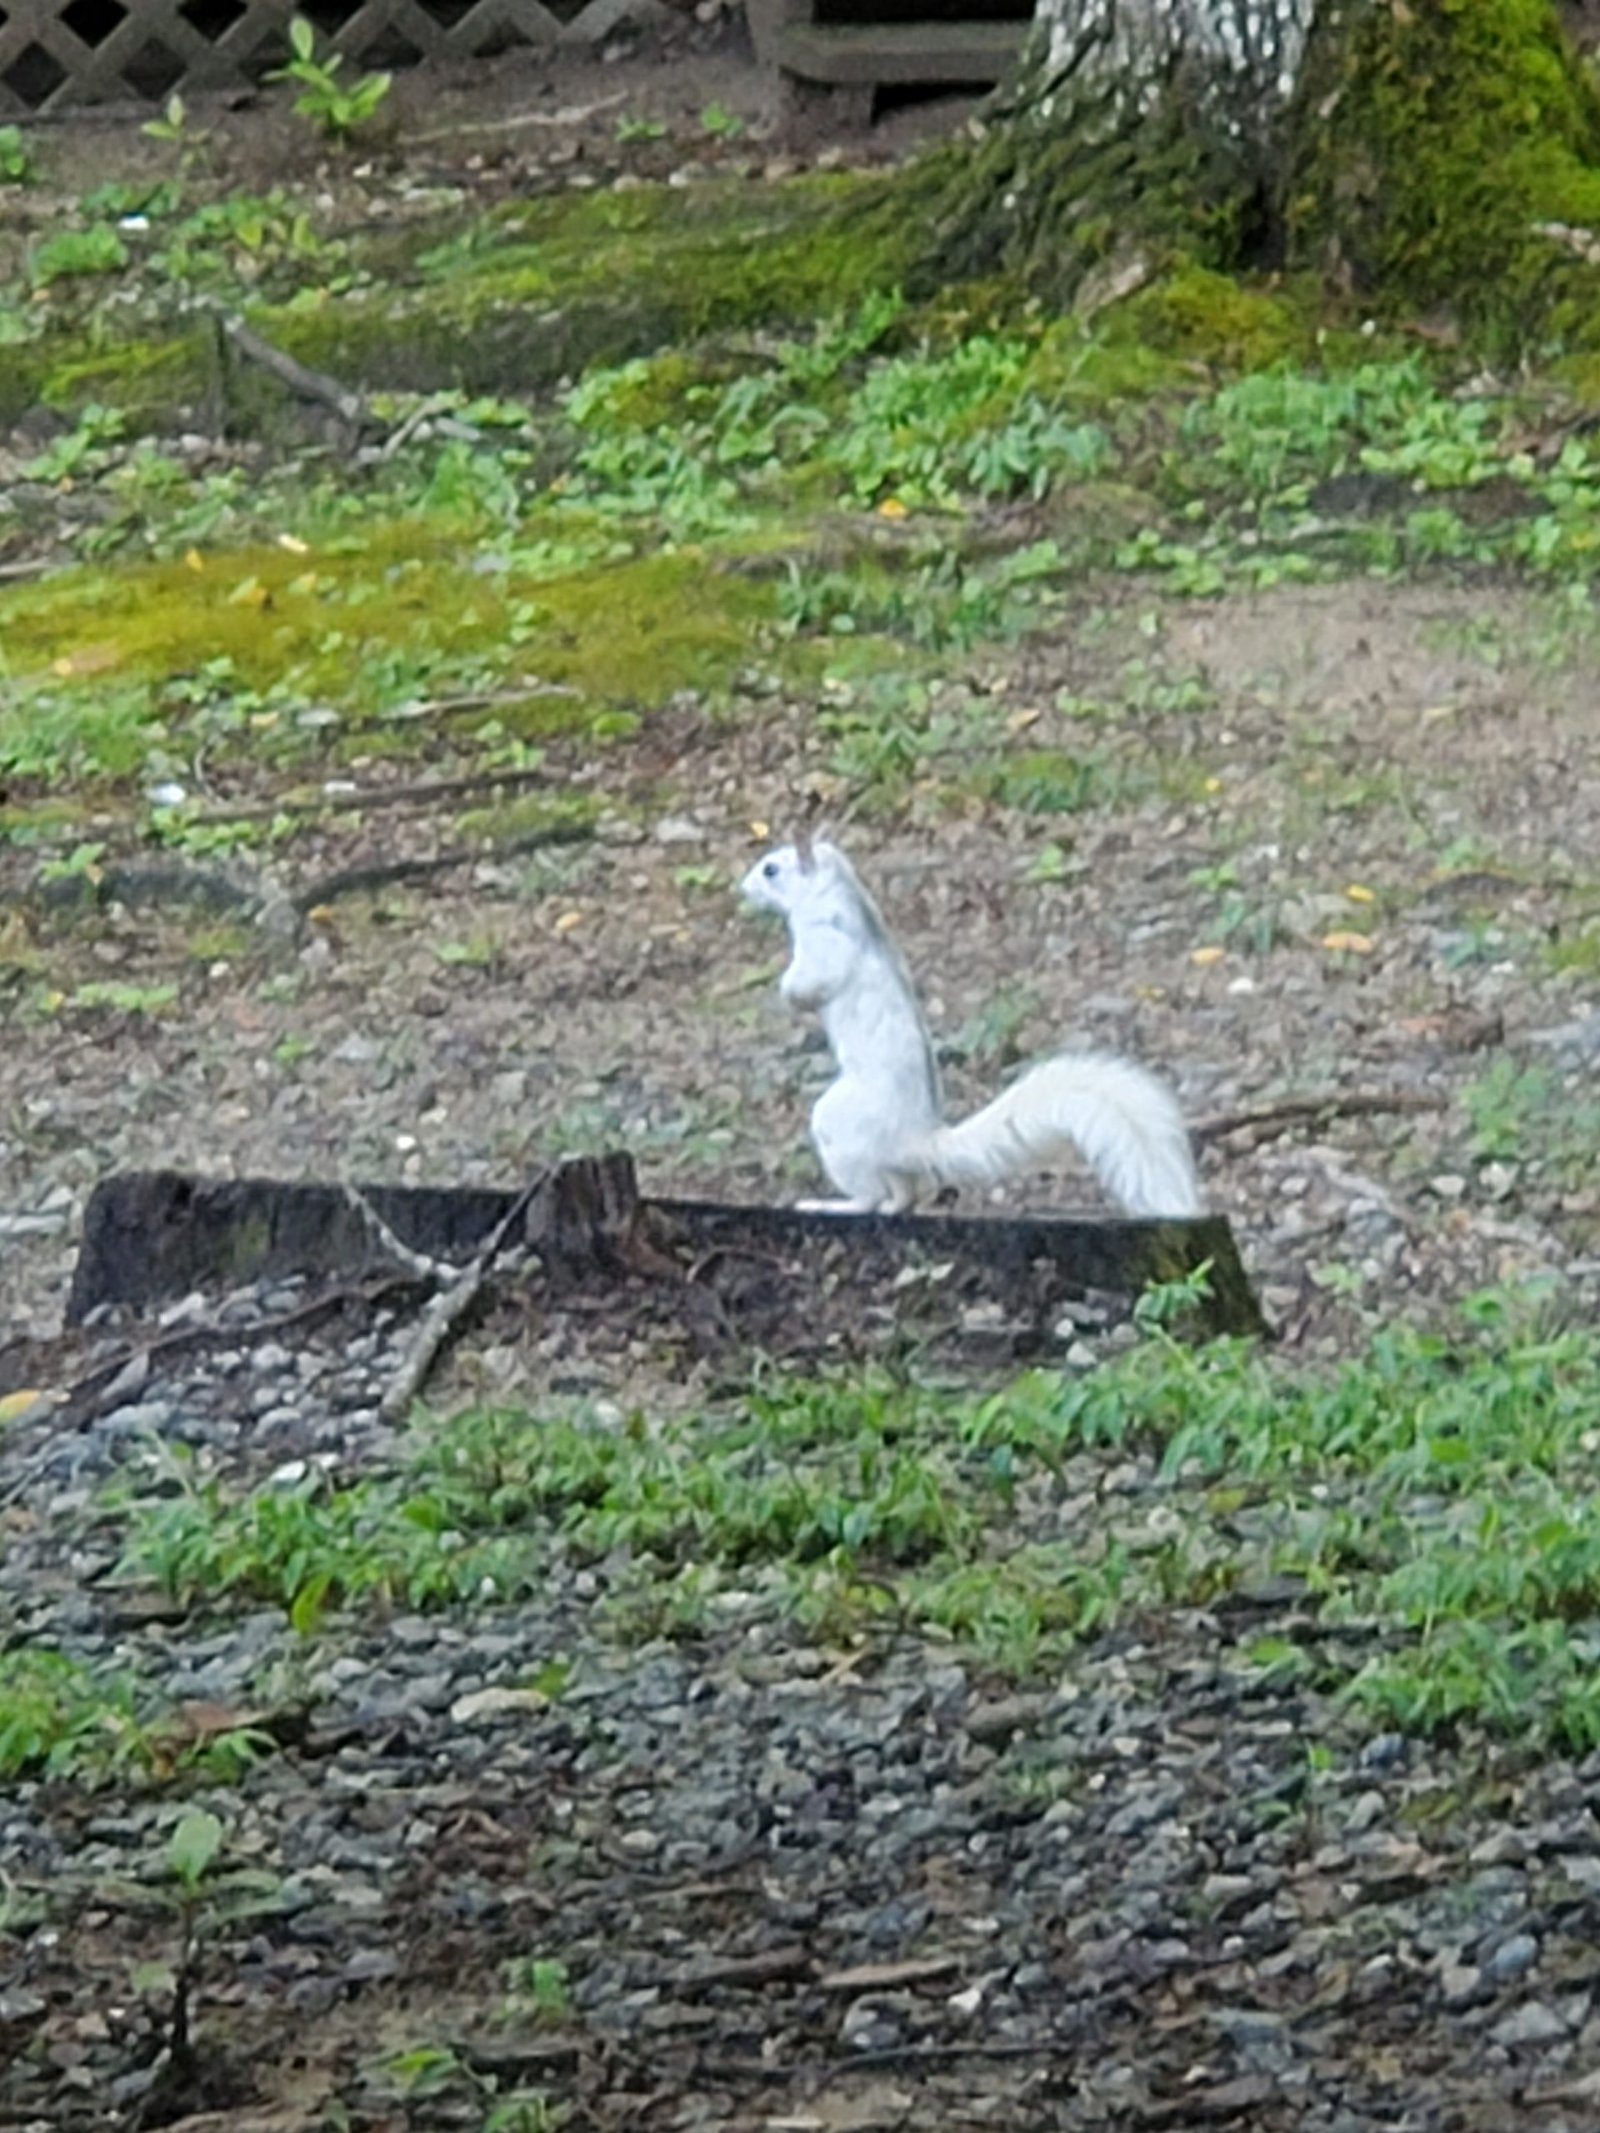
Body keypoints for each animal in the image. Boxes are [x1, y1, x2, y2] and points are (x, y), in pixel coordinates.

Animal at [738, 823, 1203, 1220]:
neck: (834, 891)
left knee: (875, 1193)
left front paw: (787, 992)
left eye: (771, 869)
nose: (744, 886)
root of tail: (913, 1140)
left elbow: (812, 979)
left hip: (839, 1125)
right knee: (901, 1192)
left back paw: (833, 1204)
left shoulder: (826, 941)